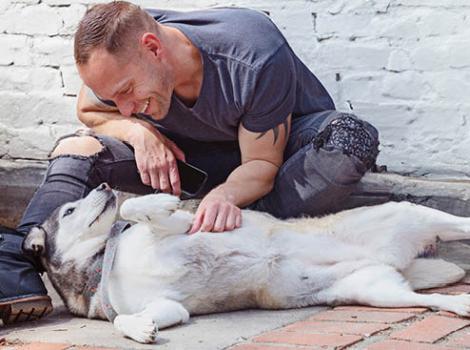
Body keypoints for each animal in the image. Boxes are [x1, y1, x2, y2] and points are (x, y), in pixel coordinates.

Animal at [23, 185, 470, 344]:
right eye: (69, 210)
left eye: (77, 201)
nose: (103, 184)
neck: (103, 261)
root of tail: (392, 259)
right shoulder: (170, 306)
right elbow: (126, 321)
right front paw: (140, 330)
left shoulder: (177, 226)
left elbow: (139, 208)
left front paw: (156, 199)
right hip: (378, 292)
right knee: (429, 300)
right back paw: (460, 304)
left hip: (411, 215)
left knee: (461, 225)